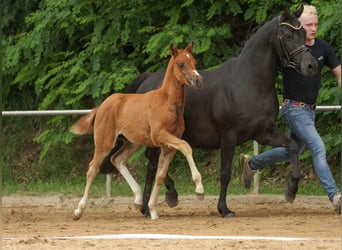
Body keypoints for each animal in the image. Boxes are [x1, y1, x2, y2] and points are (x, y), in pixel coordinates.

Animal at [72, 43, 203, 221]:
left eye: (194, 62)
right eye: (181, 64)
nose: (198, 80)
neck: (168, 103)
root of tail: (102, 106)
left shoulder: (168, 146)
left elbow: (160, 176)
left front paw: (153, 210)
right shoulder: (161, 136)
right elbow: (186, 146)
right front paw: (199, 189)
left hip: (132, 143)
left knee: (117, 159)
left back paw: (138, 199)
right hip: (104, 142)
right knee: (93, 169)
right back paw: (78, 211)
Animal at [102, 5, 318, 217]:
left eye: (304, 33)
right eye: (288, 35)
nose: (311, 65)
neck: (248, 82)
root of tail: (146, 81)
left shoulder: (264, 133)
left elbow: (292, 147)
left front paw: (291, 189)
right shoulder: (228, 136)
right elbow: (225, 173)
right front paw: (224, 209)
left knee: (152, 163)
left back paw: (148, 207)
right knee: (152, 161)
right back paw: (164, 198)